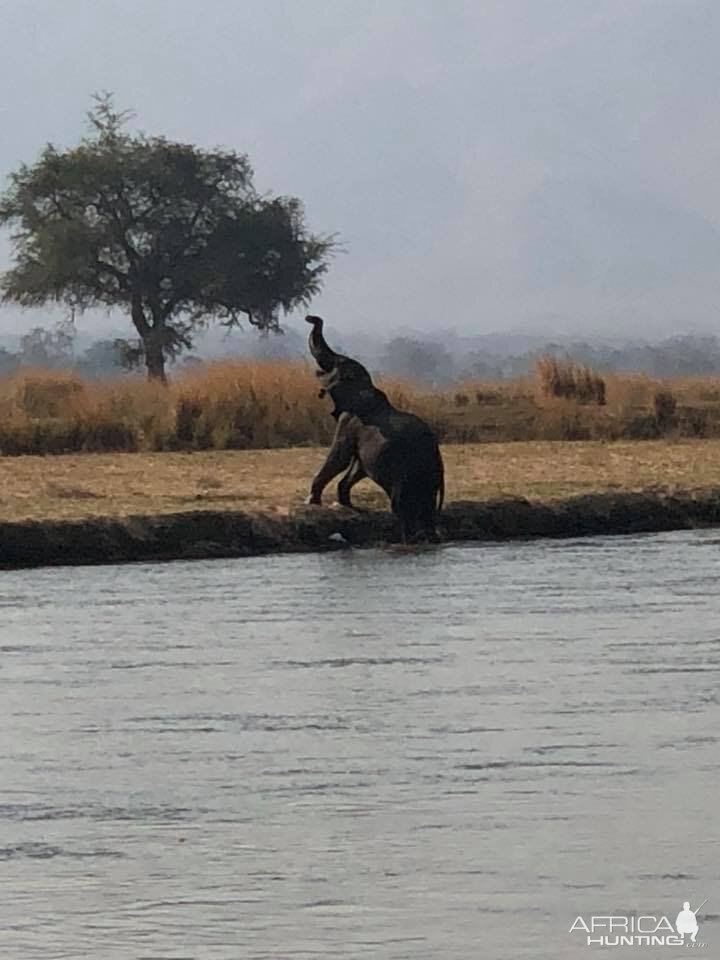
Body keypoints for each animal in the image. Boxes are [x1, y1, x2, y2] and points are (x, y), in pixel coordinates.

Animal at [302, 314, 442, 540]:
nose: (309, 317)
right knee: (424, 509)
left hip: (406, 472)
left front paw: (310, 501)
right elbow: (358, 465)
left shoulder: (350, 421)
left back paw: (410, 538)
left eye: (338, 362)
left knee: (404, 507)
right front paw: (346, 504)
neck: (367, 386)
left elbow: (339, 456)